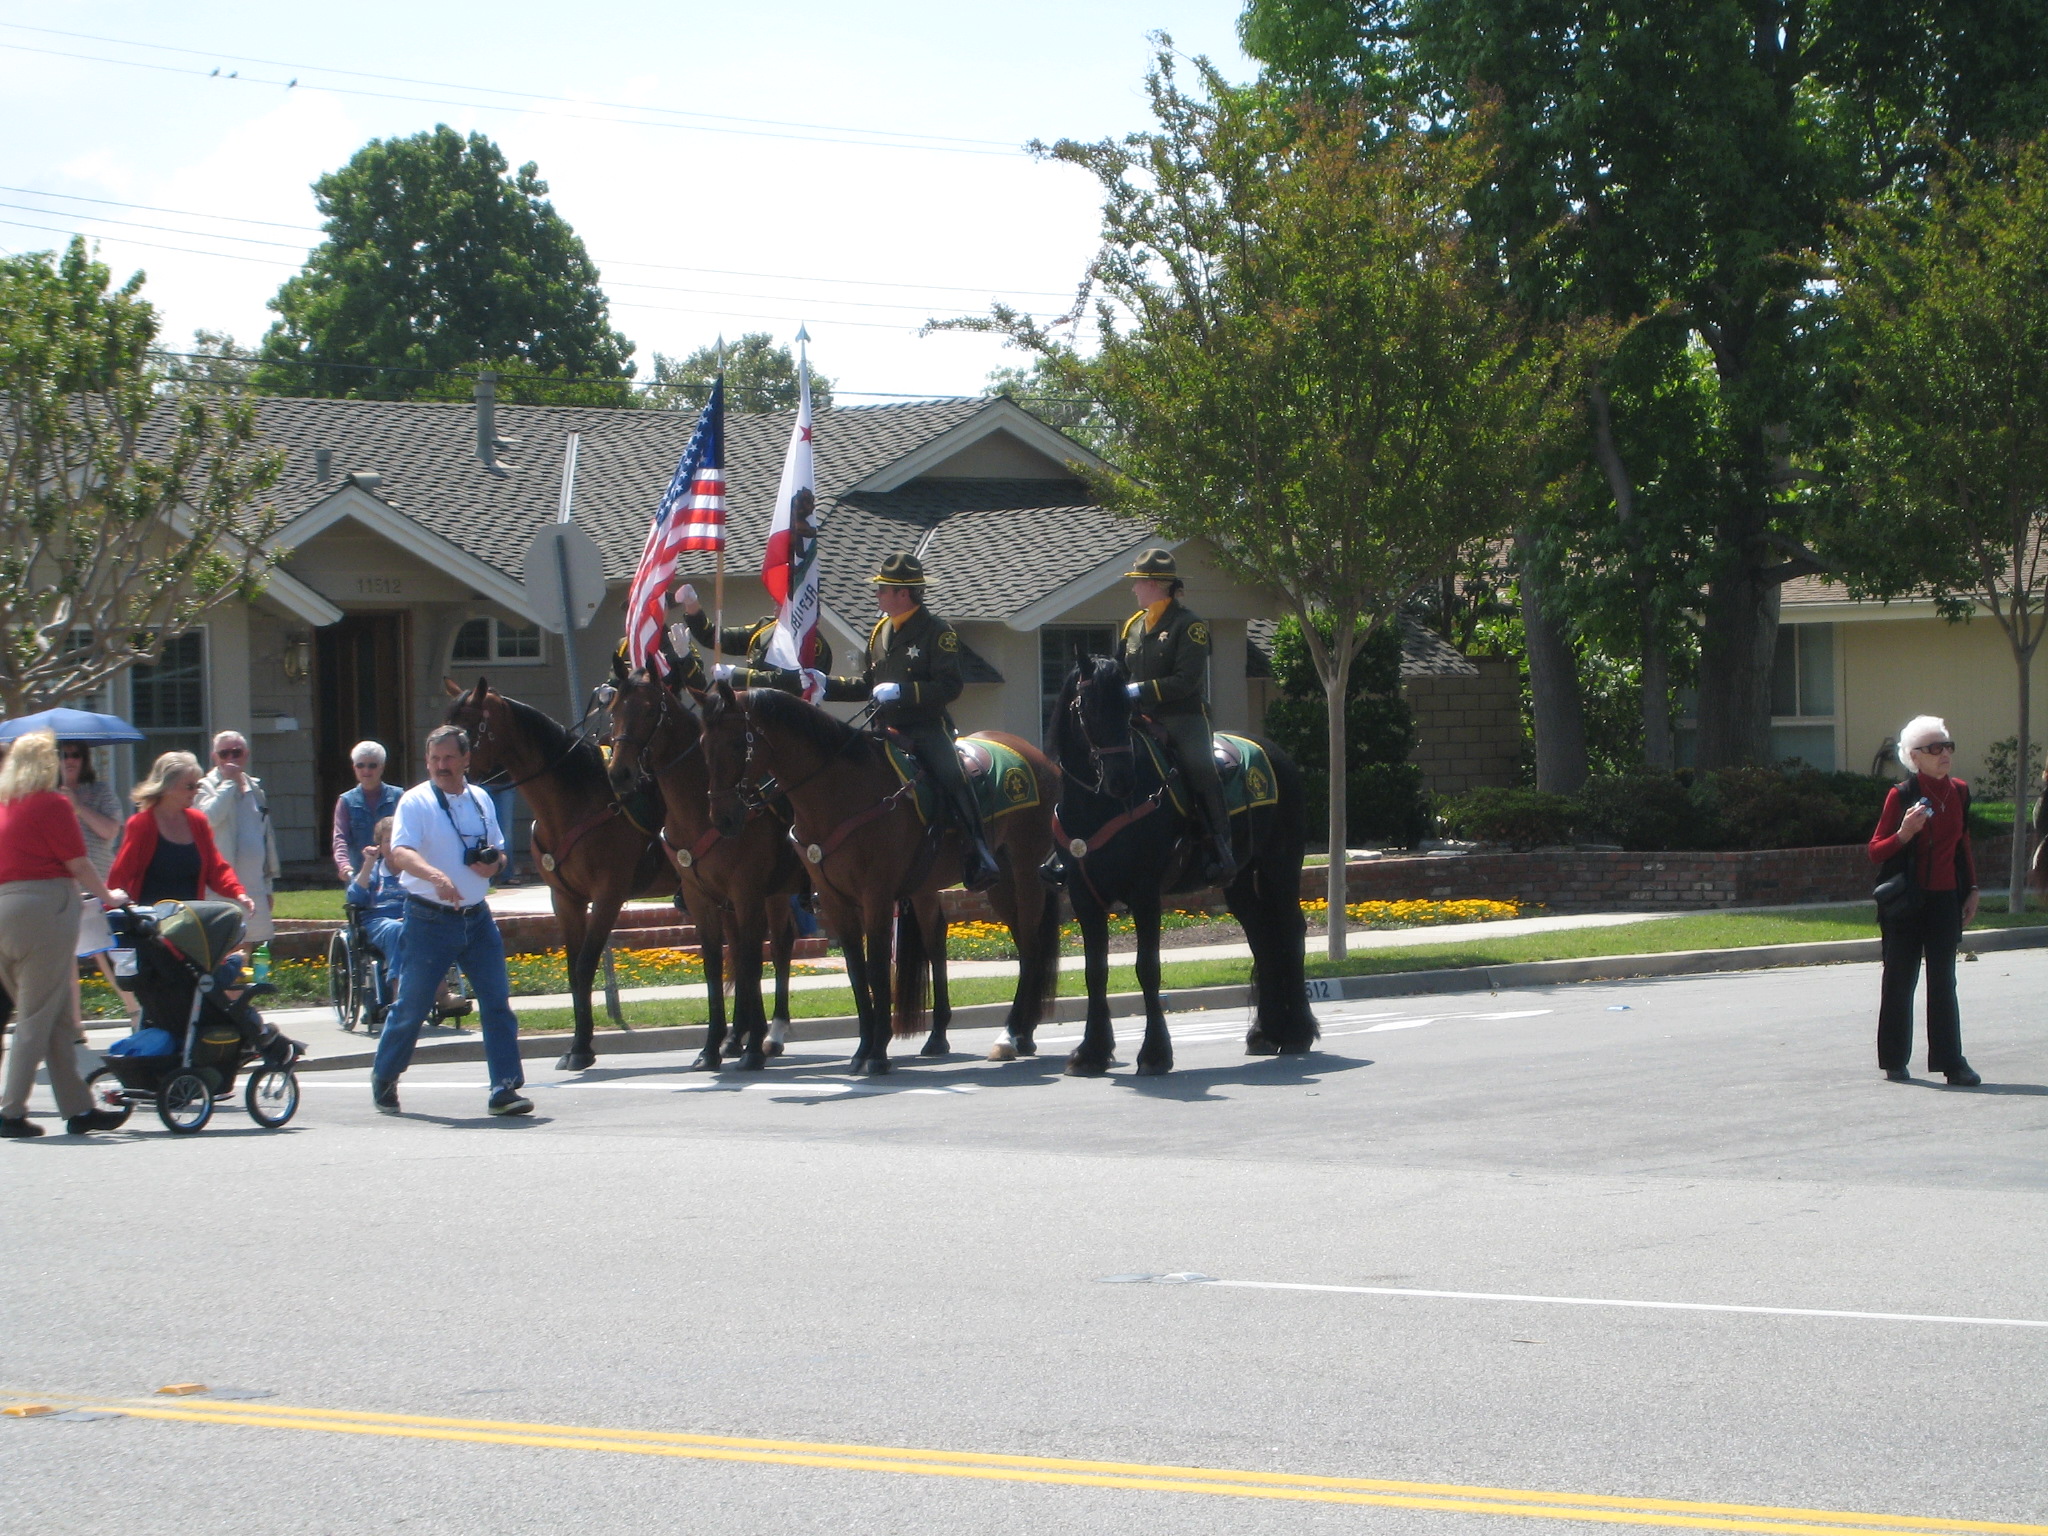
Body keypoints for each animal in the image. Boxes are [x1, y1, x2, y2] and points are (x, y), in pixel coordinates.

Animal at [444, 679, 675, 1073]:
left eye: (470, 729)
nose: (443, 774)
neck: (577, 800)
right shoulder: (566, 899)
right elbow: (572, 971)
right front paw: (579, 1044)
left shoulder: (608, 895)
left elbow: (584, 966)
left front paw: (582, 1048)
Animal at [598, 655, 806, 1073]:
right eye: (614, 711)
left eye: (650, 711)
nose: (620, 773)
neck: (698, 809)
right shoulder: (702, 897)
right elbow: (715, 964)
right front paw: (712, 1048)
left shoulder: (746, 891)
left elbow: (750, 961)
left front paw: (752, 1048)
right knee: (764, 946)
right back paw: (744, 1036)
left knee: (779, 945)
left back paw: (772, 1033)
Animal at [700, 688, 1064, 1081]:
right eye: (703, 745)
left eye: (737, 743)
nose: (722, 818)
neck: (839, 794)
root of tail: (1039, 758)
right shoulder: (835, 900)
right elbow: (857, 972)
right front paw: (863, 1049)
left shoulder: (875, 894)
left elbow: (876, 967)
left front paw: (877, 1052)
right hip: (1000, 884)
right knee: (1023, 945)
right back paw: (1020, 1035)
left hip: (1025, 872)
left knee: (1031, 948)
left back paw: (1009, 1035)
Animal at [1040, 655, 1310, 1073]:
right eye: (1088, 709)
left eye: (1127, 710)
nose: (1121, 780)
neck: (1097, 805)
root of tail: (1275, 752)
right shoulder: (1085, 895)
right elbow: (1094, 972)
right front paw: (1092, 1051)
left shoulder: (1145, 892)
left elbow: (1147, 968)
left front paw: (1154, 1053)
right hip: (1239, 880)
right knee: (1262, 938)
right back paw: (1264, 1033)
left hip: (1279, 866)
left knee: (1291, 931)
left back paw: (1297, 1032)